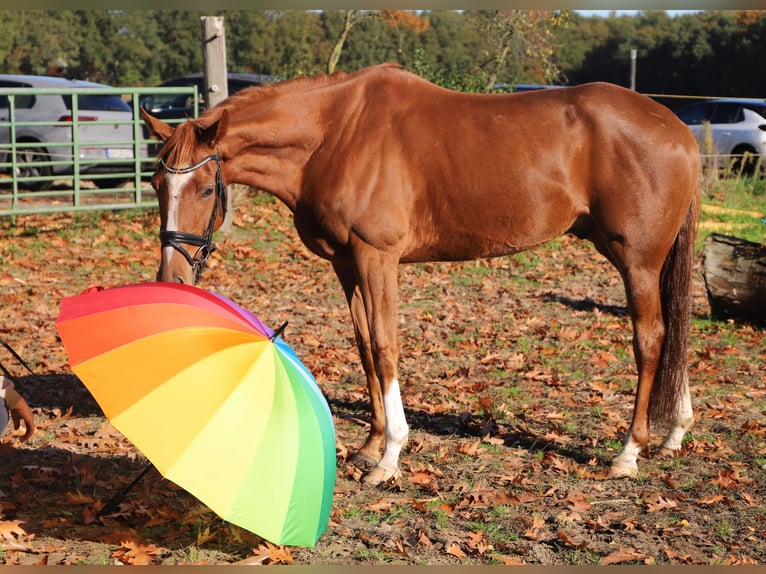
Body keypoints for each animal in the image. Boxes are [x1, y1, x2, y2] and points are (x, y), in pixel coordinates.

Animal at [141, 63, 700, 486]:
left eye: (205, 190)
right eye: (154, 185)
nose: (173, 278)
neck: (335, 134)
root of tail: (679, 130)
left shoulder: (377, 258)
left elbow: (386, 344)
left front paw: (389, 457)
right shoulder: (347, 264)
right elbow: (365, 346)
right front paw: (370, 444)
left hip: (637, 261)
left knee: (651, 338)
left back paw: (628, 453)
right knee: (675, 330)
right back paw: (674, 434)